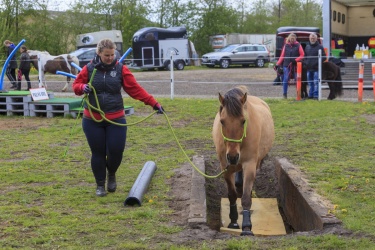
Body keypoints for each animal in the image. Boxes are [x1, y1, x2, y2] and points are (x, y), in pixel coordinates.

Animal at [212, 85, 276, 235]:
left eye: (243, 121)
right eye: (222, 121)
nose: (233, 156)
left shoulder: (250, 164)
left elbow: (246, 198)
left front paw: (247, 227)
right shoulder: (226, 167)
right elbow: (232, 195)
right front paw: (234, 221)